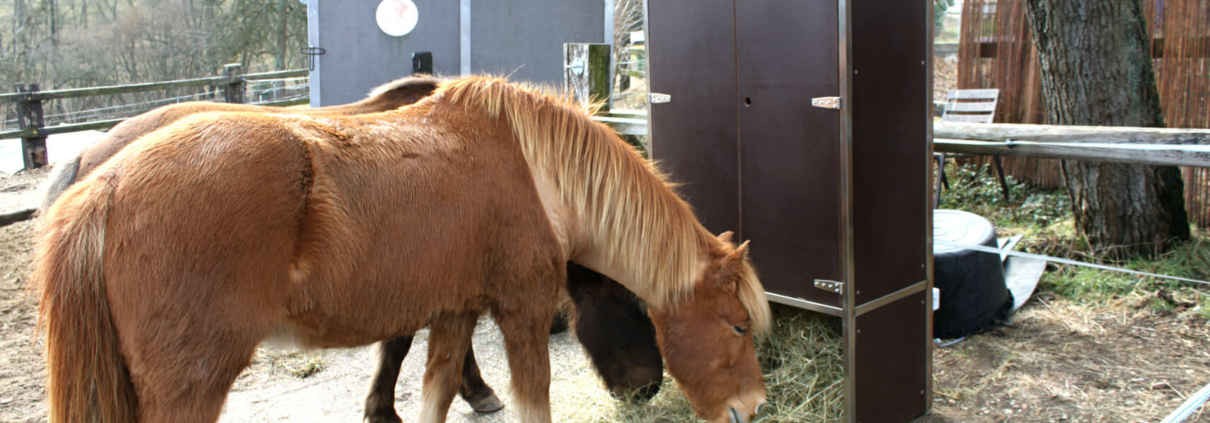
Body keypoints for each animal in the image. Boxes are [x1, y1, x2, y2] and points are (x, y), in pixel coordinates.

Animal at [35, 76, 774, 423]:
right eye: (738, 326)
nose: (754, 405)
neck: (535, 172)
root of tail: (103, 184)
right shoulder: (522, 314)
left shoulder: (452, 315)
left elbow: (433, 392)